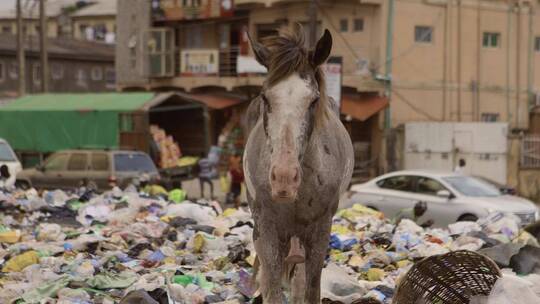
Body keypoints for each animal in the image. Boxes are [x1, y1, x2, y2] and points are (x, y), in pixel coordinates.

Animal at [244, 26, 354, 304]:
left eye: (313, 101)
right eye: (265, 98)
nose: (284, 179)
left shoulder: (320, 231)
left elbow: (311, 288)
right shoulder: (266, 230)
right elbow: (272, 288)